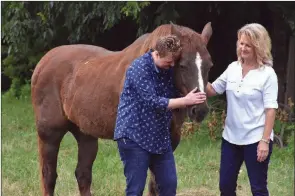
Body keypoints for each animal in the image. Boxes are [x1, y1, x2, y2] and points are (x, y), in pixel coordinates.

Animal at [31, 22, 214, 195]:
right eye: (182, 65)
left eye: (209, 65)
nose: (200, 110)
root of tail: (42, 63)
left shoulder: (168, 142)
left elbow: (155, 185)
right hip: (50, 135)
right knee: (49, 176)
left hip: (85, 134)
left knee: (82, 174)